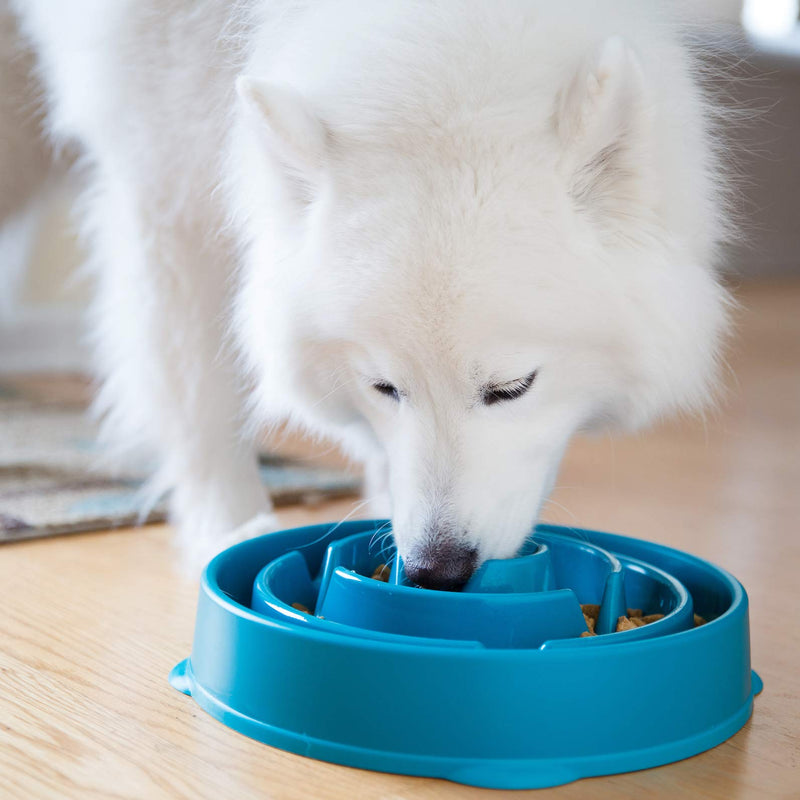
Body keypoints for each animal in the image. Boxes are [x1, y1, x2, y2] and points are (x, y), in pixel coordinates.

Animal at [4, 0, 732, 588]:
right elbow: (199, 393)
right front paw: (229, 529)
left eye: (512, 388)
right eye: (384, 386)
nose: (438, 571)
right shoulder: (162, 180)